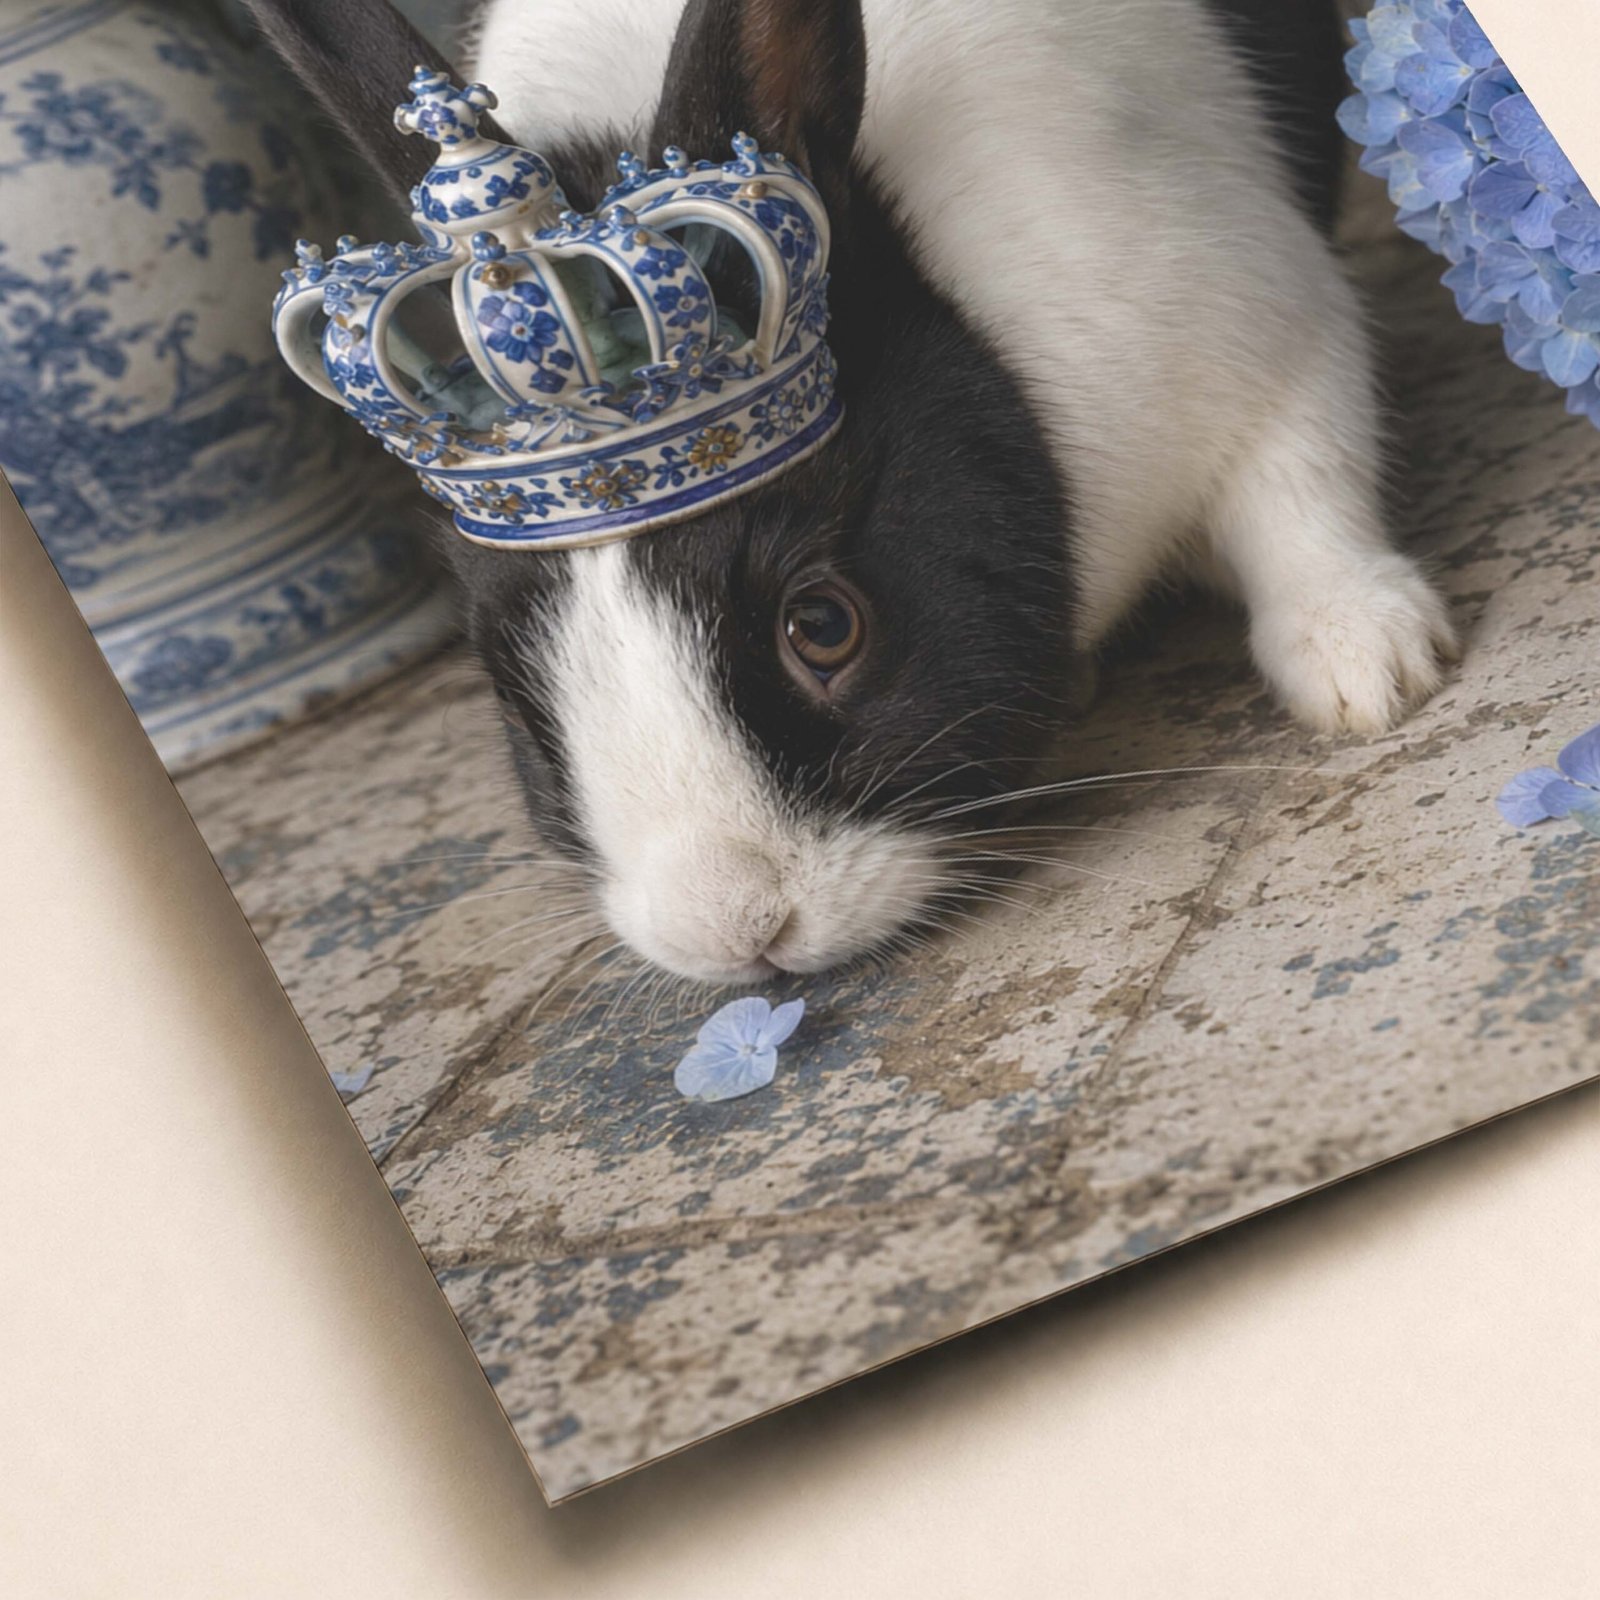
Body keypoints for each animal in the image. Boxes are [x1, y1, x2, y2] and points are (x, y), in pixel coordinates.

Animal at [245, 0, 1458, 985]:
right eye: (514, 691)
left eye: (823, 625)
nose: (736, 928)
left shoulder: (1260, 322)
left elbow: (1303, 494)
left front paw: (1367, 671)